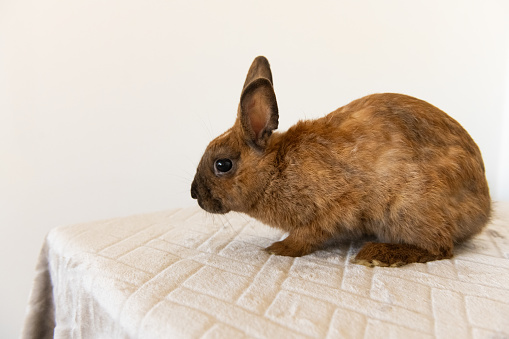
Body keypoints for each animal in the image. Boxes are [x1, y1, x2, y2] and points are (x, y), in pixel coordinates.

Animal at [189, 56, 490, 268]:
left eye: (222, 165)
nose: (194, 194)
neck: (275, 169)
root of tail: (483, 211)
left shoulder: (333, 206)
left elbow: (307, 235)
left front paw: (280, 248)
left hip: (408, 208)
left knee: (440, 248)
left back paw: (377, 255)